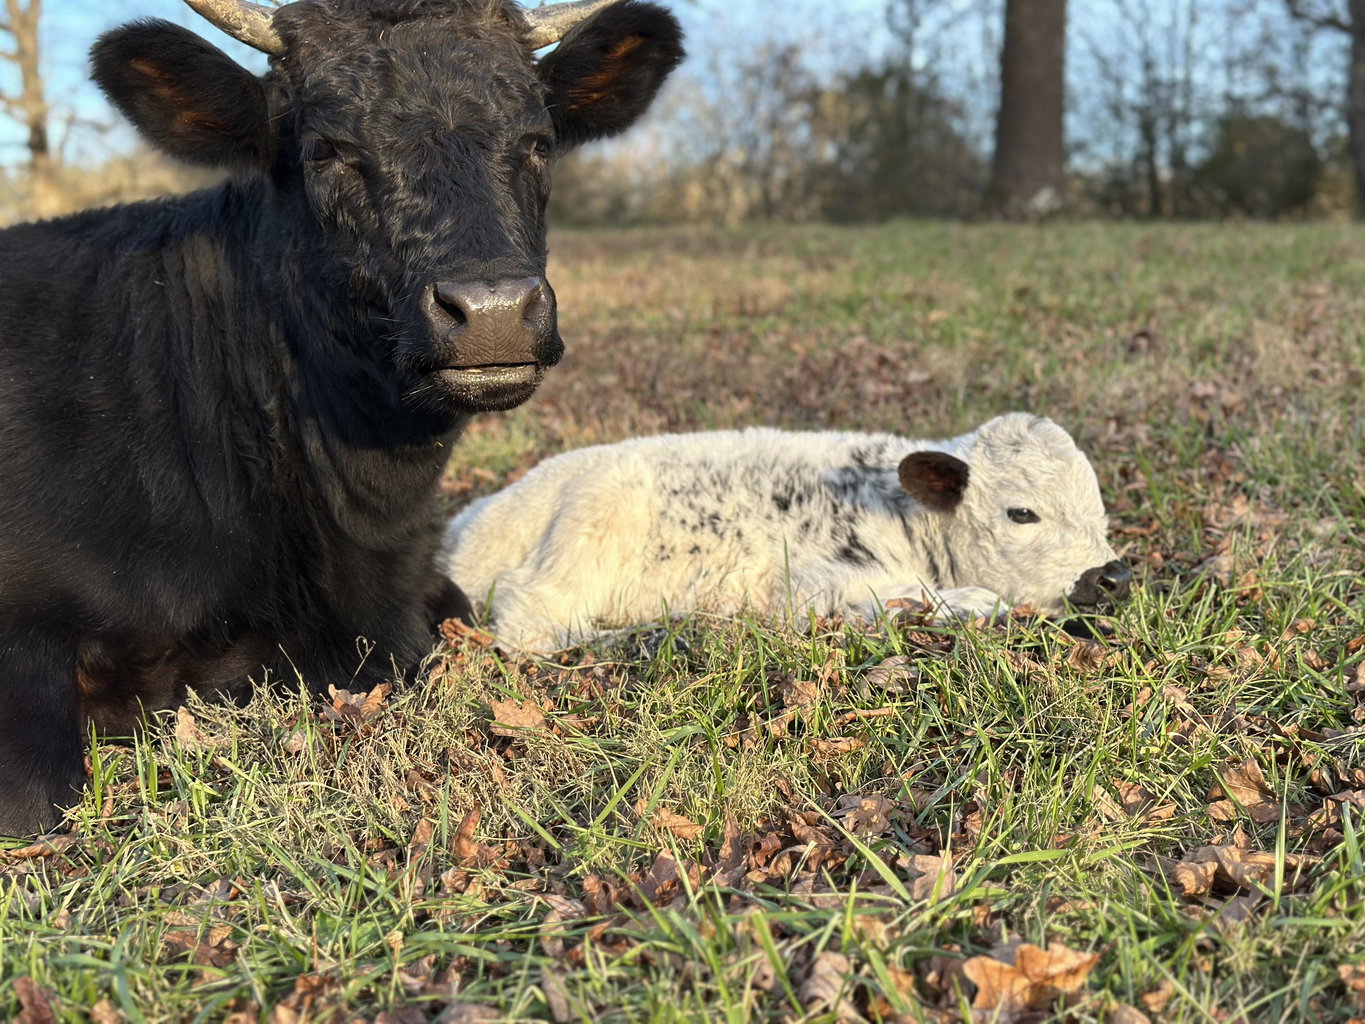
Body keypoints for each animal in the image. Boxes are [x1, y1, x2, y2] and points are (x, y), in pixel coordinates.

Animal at [440, 413, 1133, 651]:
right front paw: (966, 605)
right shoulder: (805, 579)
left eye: (1099, 510)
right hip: (589, 523)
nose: (1113, 575)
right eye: (1022, 514)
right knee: (528, 617)